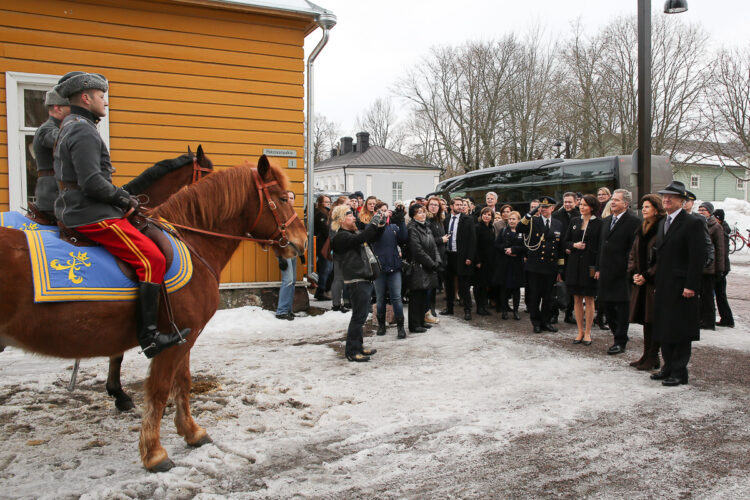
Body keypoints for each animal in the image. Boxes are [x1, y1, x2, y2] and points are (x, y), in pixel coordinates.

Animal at [0, 154, 306, 470]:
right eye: (282, 198)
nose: (302, 240)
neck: (192, 241)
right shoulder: (173, 340)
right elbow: (159, 389)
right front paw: (154, 452)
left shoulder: (186, 336)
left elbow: (183, 382)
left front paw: (191, 431)